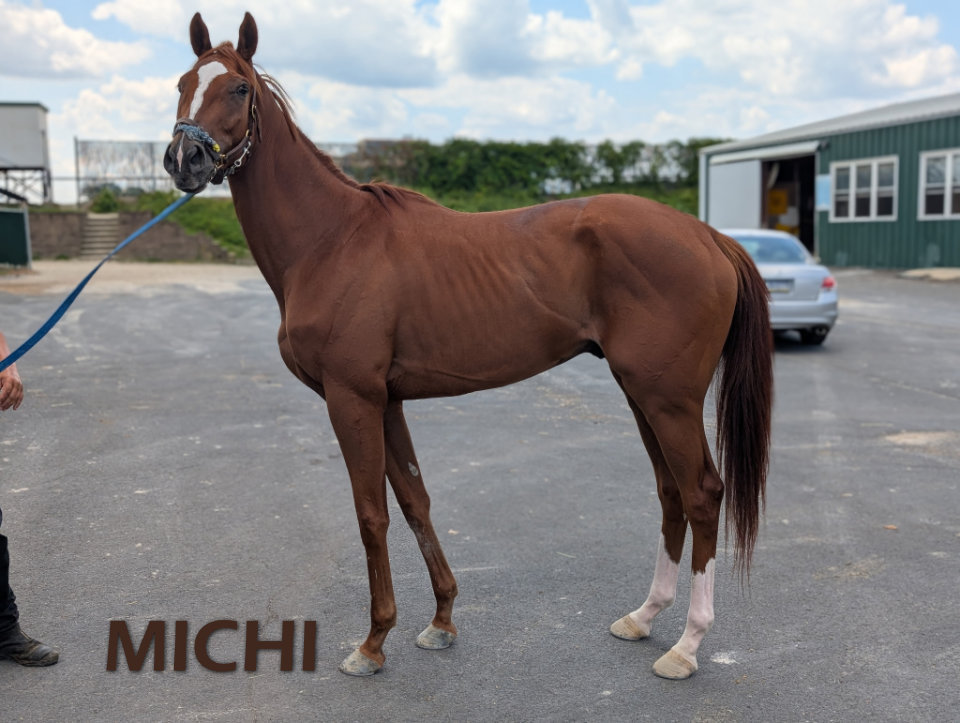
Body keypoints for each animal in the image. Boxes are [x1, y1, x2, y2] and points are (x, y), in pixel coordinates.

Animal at [163, 12, 773, 680]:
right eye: (182, 83)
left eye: (239, 88)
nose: (184, 159)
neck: (330, 240)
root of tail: (709, 236)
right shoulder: (387, 400)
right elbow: (415, 502)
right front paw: (440, 620)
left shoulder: (351, 398)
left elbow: (371, 514)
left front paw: (372, 643)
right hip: (644, 395)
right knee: (670, 494)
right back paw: (643, 618)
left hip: (669, 400)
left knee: (702, 495)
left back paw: (686, 646)